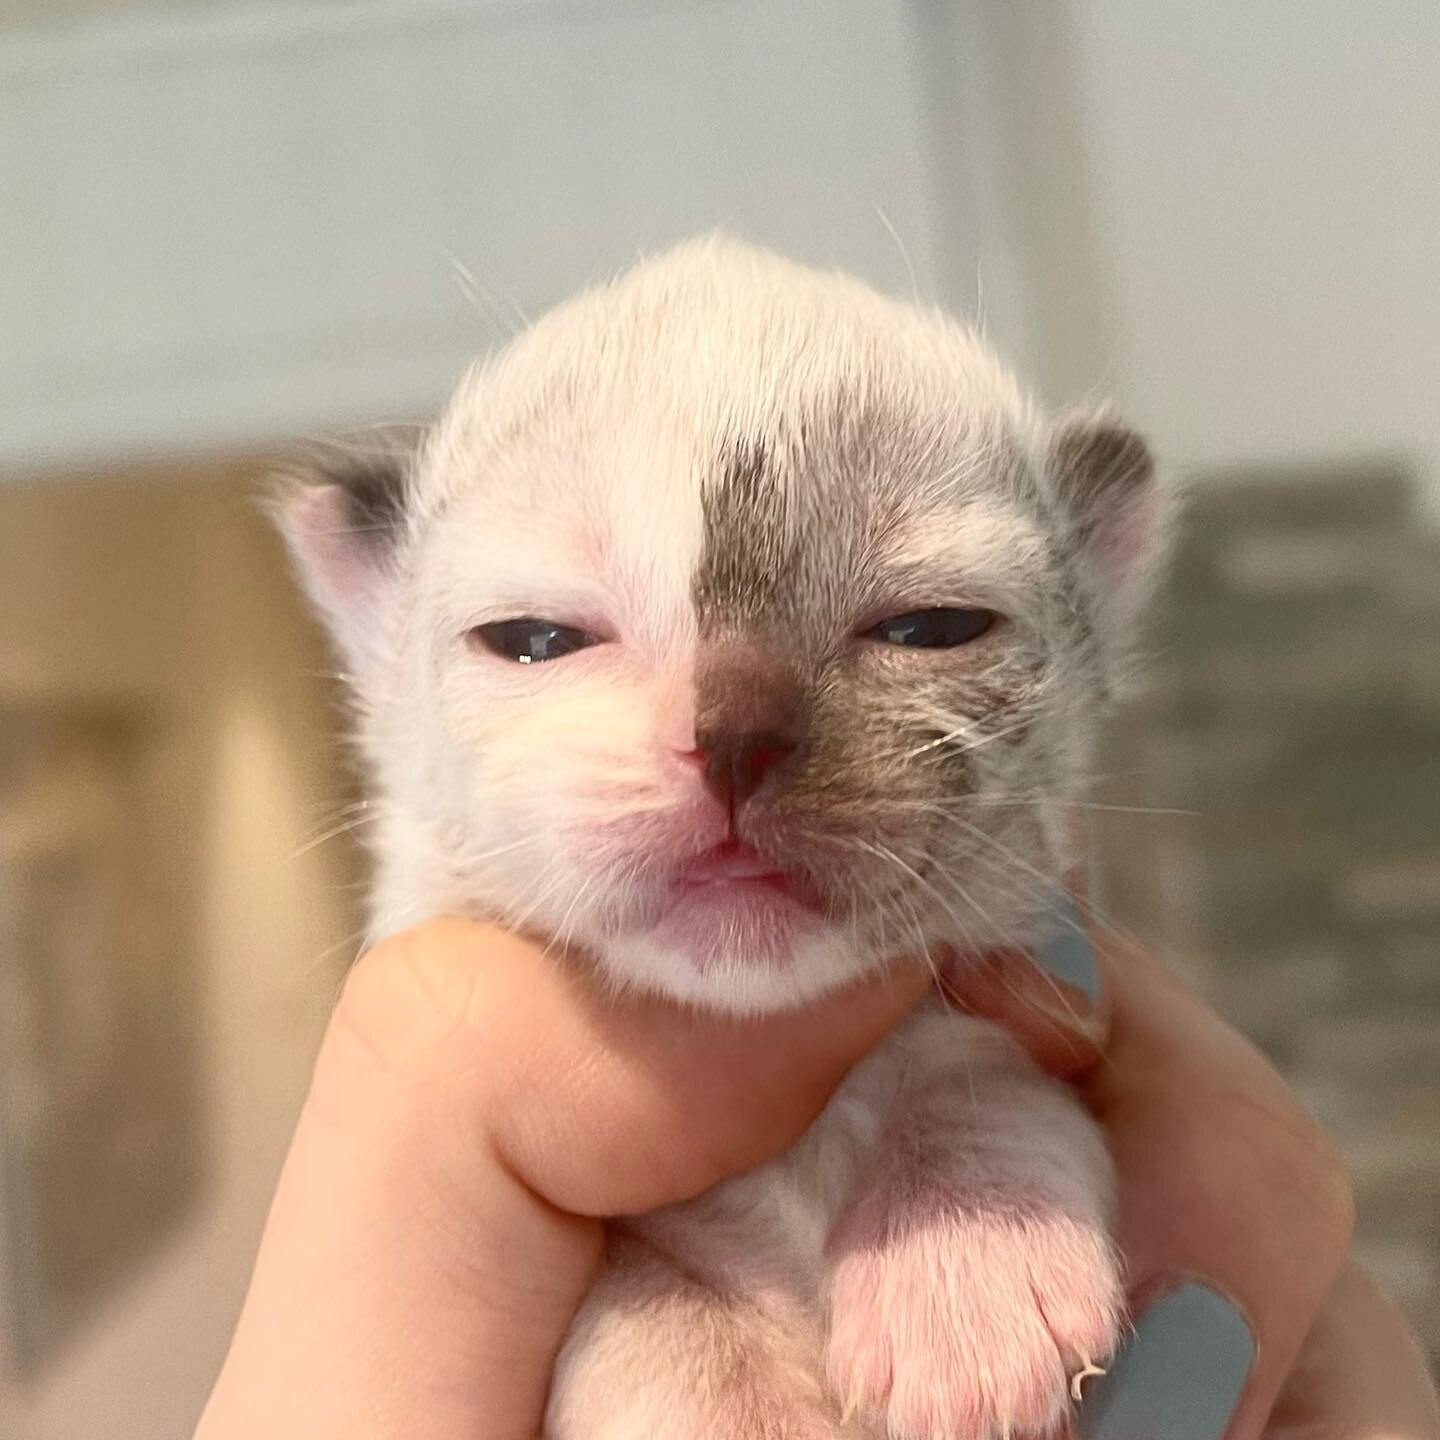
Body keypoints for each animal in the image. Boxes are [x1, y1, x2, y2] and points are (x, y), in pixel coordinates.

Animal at [275, 239, 1163, 1440]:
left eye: (932, 627)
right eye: (536, 639)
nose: (735, 731)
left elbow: (969, 1068)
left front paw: (966, 1261)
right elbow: (648, 1290)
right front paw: (727, 1390)